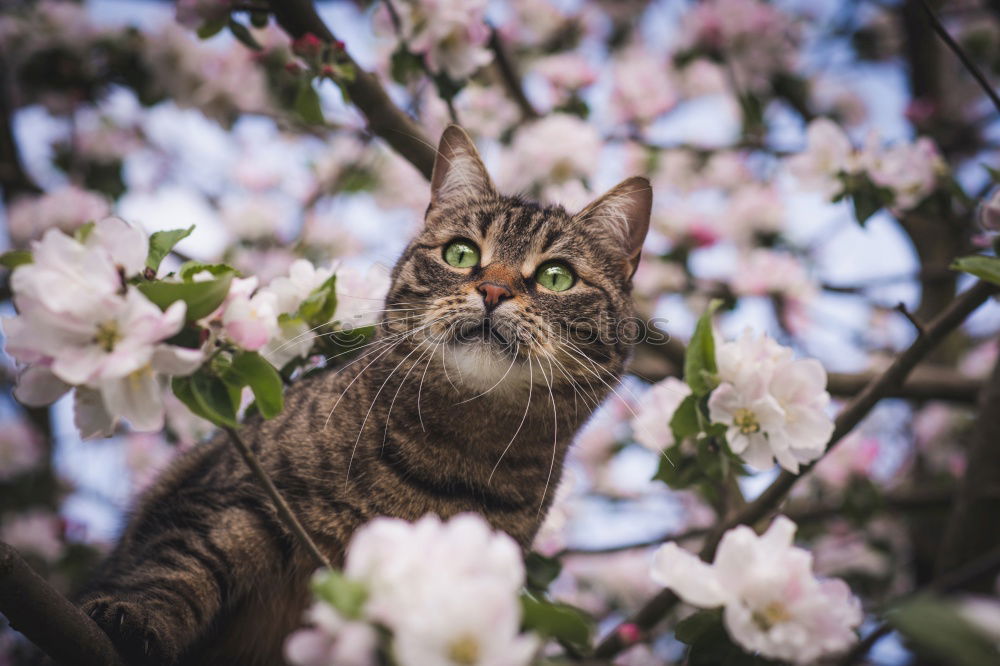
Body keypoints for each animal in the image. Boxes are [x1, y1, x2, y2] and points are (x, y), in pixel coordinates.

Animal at [80, 126, 656, 664]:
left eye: (557, 277)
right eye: (461, 252)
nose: (493, 290)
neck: (457, 453)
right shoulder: (237, 497)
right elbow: (177, 567)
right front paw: (136, 617)